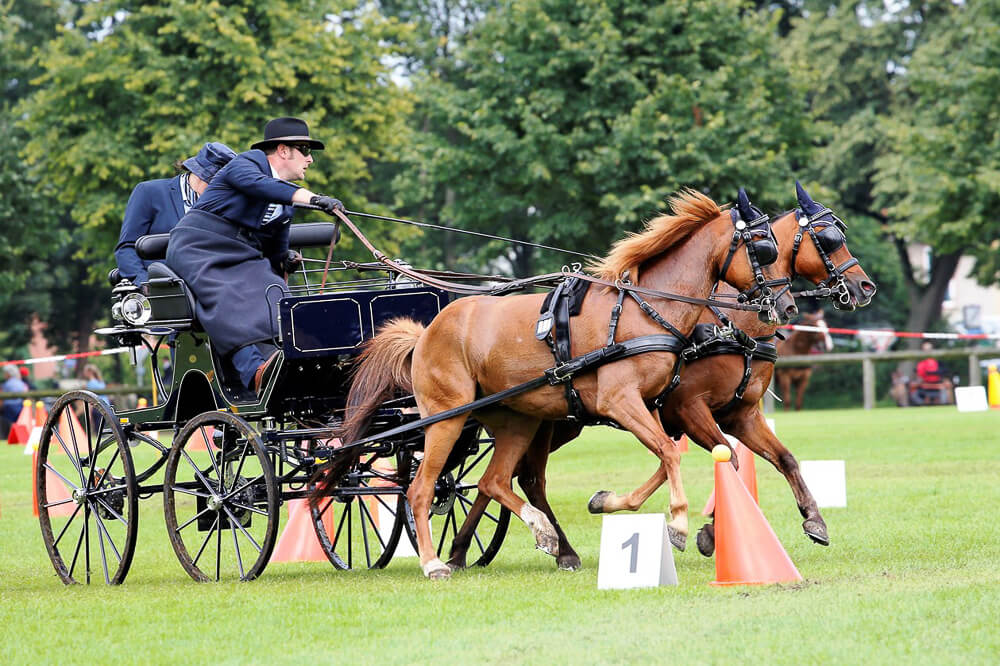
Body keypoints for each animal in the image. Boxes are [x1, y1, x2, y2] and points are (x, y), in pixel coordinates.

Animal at [324, 187, 800, 576]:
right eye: (762, 246)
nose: (786, 305)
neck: (643, 311)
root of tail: (425, 333)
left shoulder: (661, 407)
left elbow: (673, 457)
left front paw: (614, 504)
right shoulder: (623, 402)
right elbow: (671, 454)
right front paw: (680, 524)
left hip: (518, 421)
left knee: (495, 481)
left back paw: (542, 537)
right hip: (447, 418)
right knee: (422, 487)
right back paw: (434, 562)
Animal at [446, 183, 876, 572]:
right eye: (828, 239)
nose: (864, 286)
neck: (726, 324)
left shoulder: (738, 414)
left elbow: (779, 458)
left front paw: (813, 519)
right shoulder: (687, 408)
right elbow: (728, 458)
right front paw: (705, 531)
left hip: (555, 421)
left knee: (506, 477)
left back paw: (466, 550)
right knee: (518, 478)